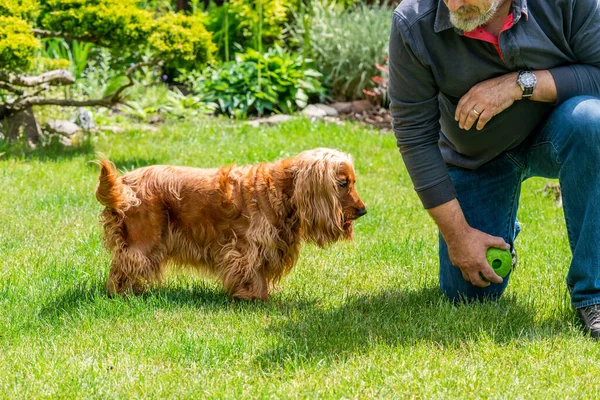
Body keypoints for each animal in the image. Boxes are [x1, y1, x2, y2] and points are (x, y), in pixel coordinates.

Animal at [95, 148, 366, 300]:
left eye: (353, 181)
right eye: (342, 183)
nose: (363, 210)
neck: (279, 188)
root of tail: (124, 183)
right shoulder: (247, 245)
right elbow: (251, 273)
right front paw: (254, 297)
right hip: (144, 240)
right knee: (124, 265)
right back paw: (122, 294)